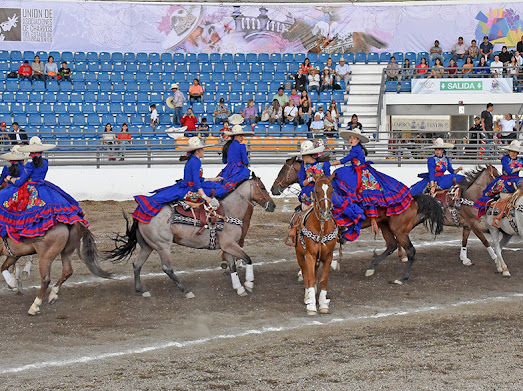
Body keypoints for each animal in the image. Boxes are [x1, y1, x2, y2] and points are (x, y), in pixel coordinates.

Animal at [107, 175, 278, 298]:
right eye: (262, 187)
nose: (273, 205)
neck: (229, 212)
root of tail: (141, 213)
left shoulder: (228, 247)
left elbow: (233, 267)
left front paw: (239, 288)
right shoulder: (230, 245)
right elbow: (248, 259)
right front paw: (249, 283)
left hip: (147, 246)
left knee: (137, 264)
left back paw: (142, 290)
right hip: (162, 245)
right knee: (167, 268)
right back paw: (186, 291)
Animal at [272, 157, 444, 284]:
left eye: (282, 170)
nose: (273, 189)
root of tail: (413, 200)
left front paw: (305, 273)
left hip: (400, 231)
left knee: (410, 250)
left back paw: (401, 278)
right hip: (385, 225)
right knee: (392, 246)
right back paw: (371, 268)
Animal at [294, 175, 340, 316]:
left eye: (331, 190)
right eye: (316, 190)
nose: (326, 213)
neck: (321, 228)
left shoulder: (328, 256)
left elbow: (323, 280)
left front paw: (323, 304)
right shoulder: (310, 255)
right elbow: (310, 277)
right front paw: (311, 306)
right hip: (299, 254)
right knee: (305, 272)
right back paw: (308, 296)